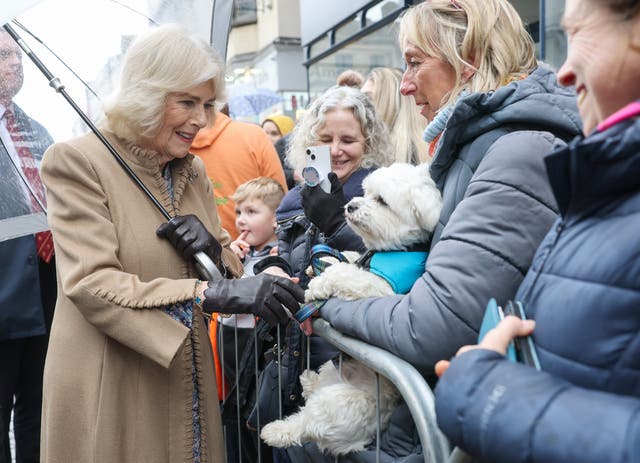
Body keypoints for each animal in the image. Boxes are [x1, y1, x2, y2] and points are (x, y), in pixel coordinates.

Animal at [258, 163, 442, 456]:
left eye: (382, 201)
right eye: (366, 192)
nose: (351, 205)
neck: (390, 250)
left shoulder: (386, 290)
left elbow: (350, 274)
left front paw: (319, 283)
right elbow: (348, 260)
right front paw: (321, 263)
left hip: (339, 403)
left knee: (307, 424)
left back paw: (275, 431)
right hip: (330, 372)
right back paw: (309, 381)